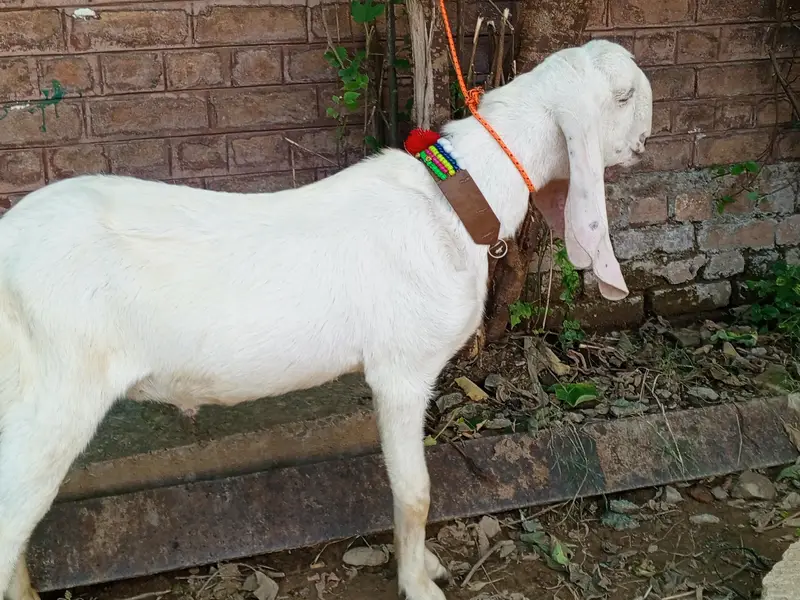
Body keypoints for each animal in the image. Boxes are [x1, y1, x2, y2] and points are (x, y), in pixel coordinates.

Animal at [0, 39, 652, 600]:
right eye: (625, 96)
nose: (648, 139)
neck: (456, 202)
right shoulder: (402, 371)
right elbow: (414, 490)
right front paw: (418, 582)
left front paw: (425, 563)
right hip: (49, 400)